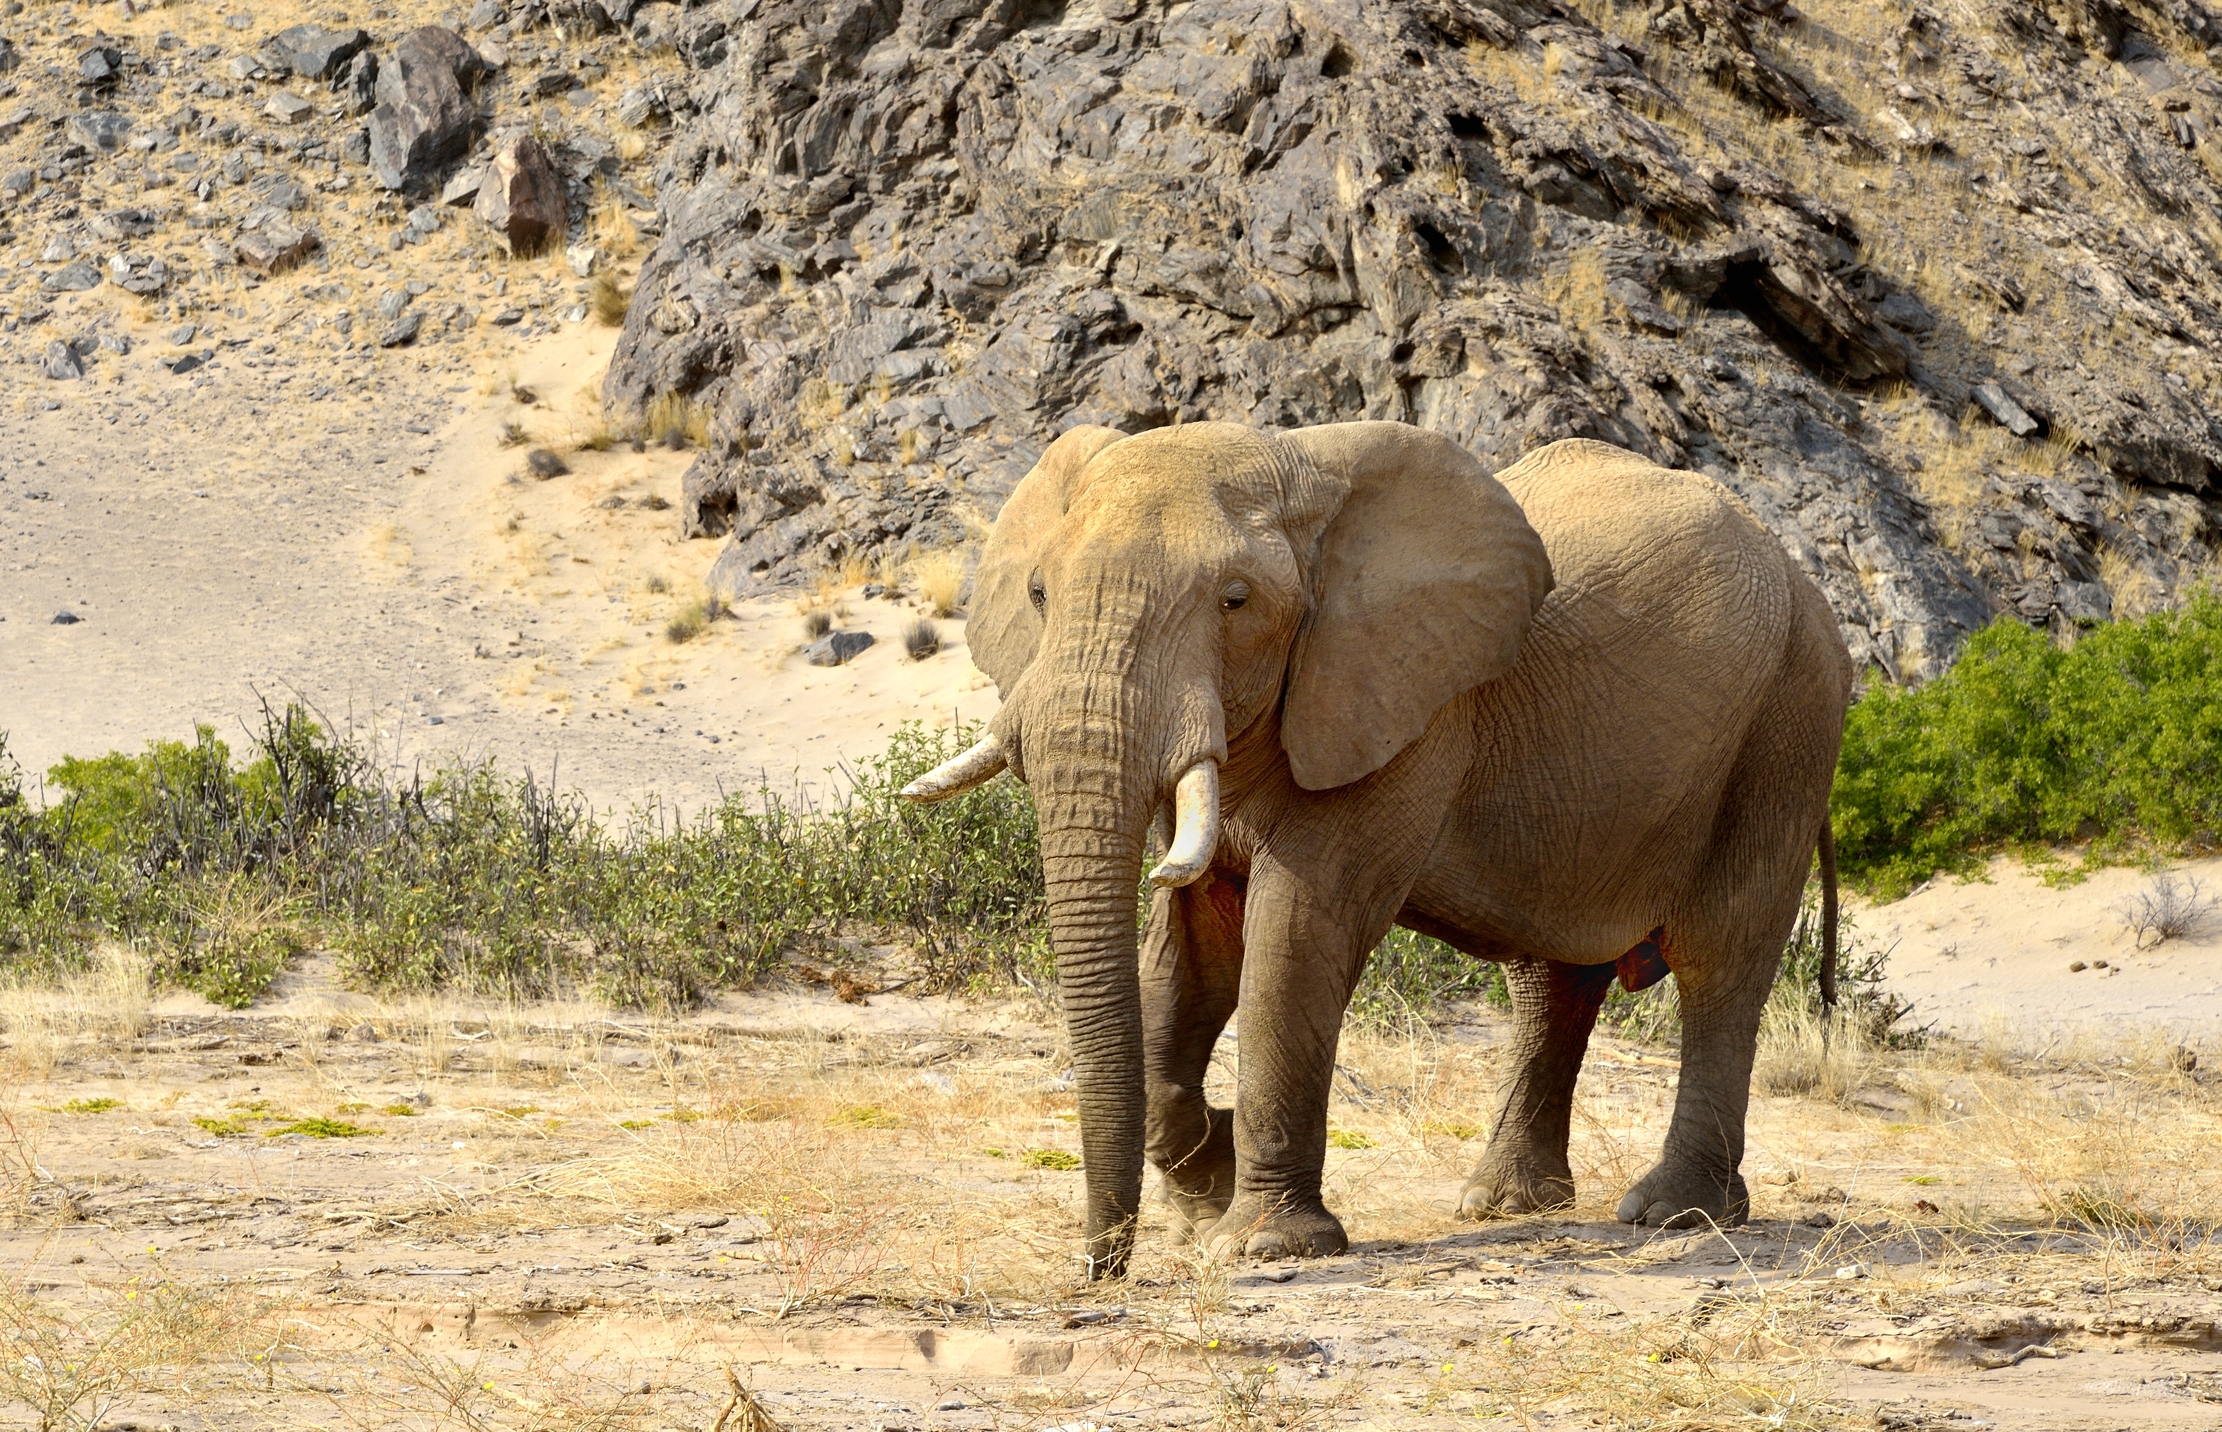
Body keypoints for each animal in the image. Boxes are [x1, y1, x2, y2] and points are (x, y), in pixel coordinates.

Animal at [902, 421, 1852, 1277]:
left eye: (1236, 600)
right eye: (1037, 594)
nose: (1100, 1269)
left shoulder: (1407, 709)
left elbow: (1296, 929)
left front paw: (1257, 1245)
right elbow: (1192, 943)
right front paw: (1209, 1188)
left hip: (1790, 719)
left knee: (1720, 956)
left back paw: (1675, 1214)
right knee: (1550, 979)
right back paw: (1504, 1203)